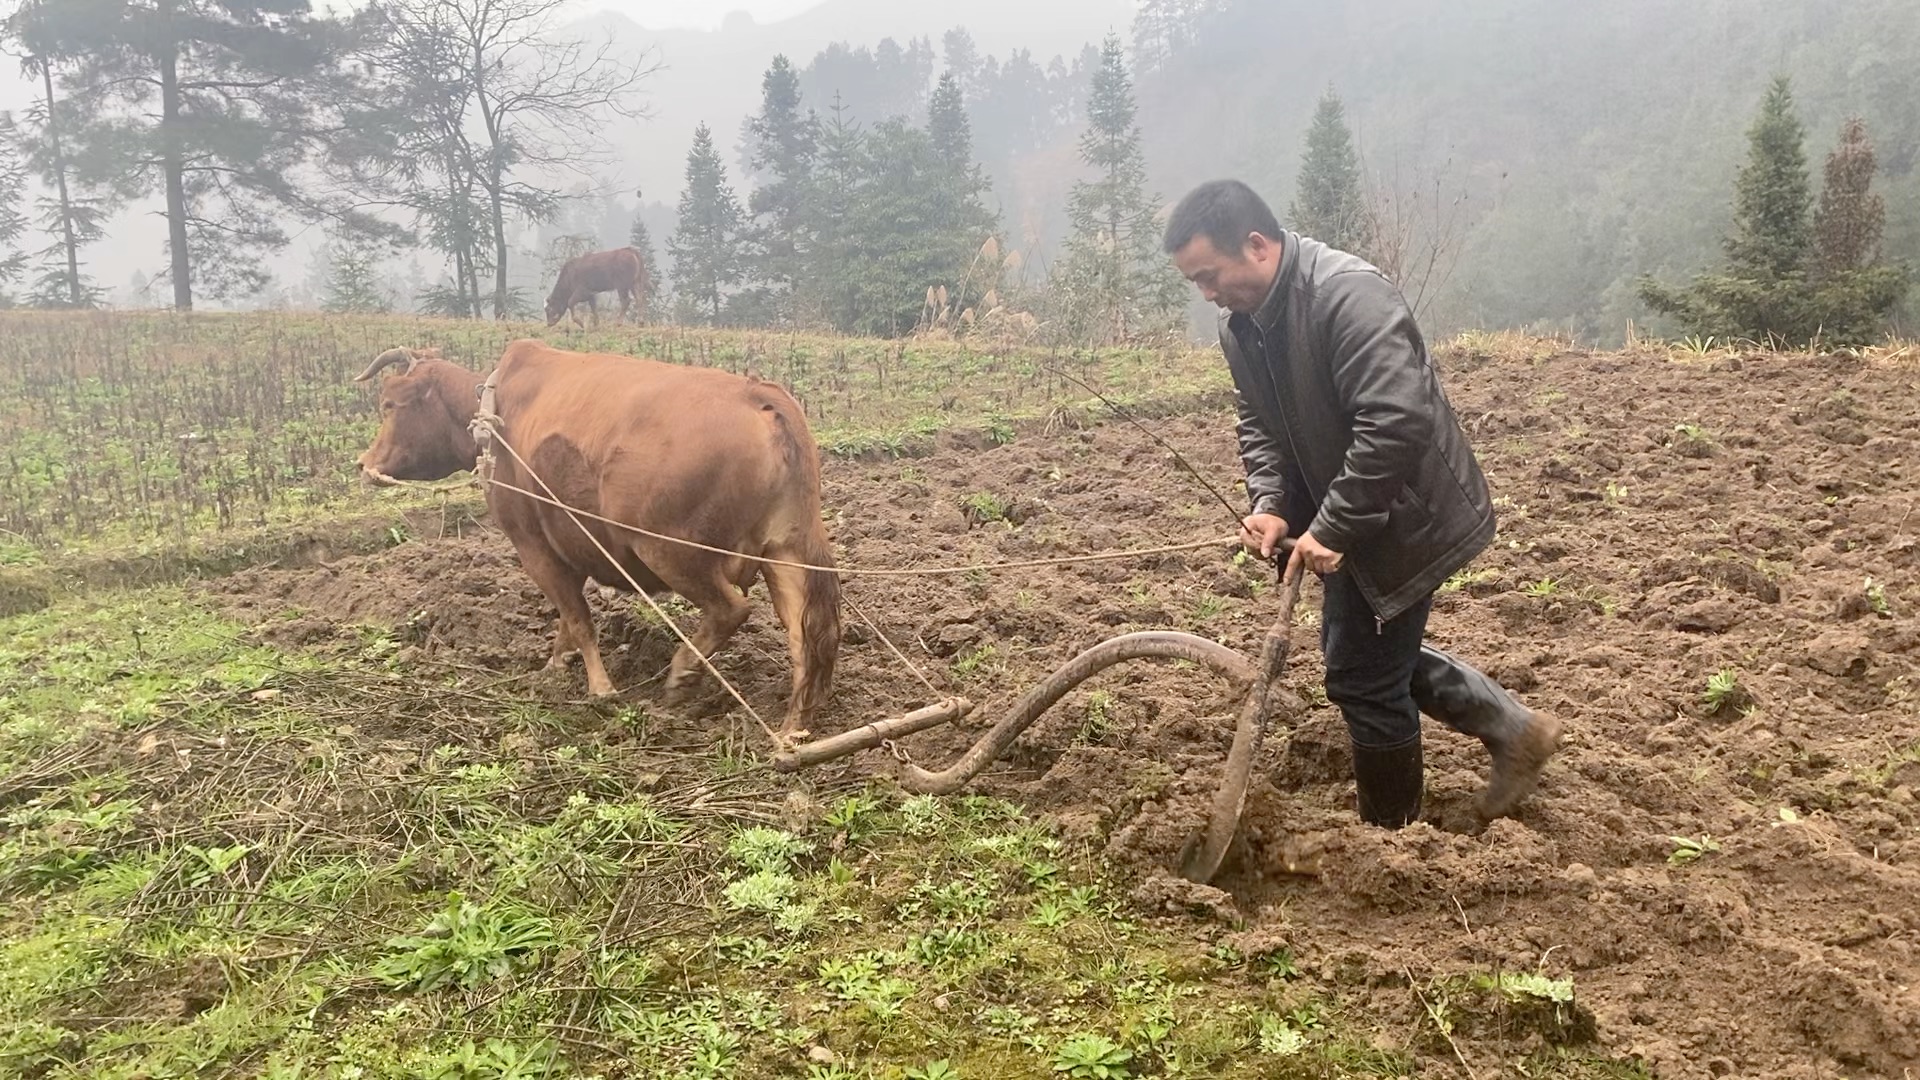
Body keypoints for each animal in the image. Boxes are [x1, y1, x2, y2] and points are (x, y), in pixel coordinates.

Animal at [353, 338, 840, 737]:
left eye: (389, 404)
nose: (364, 464)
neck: (494, 420)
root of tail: (761, 398)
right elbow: (568, 620)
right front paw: (555, 665)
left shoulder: (533, 545)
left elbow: (578, 617)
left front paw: (600, 687)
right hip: (786, 553)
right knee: (806, 634)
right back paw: (794, 726)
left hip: (670, 550)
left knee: (732, 610)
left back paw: (681, 676)